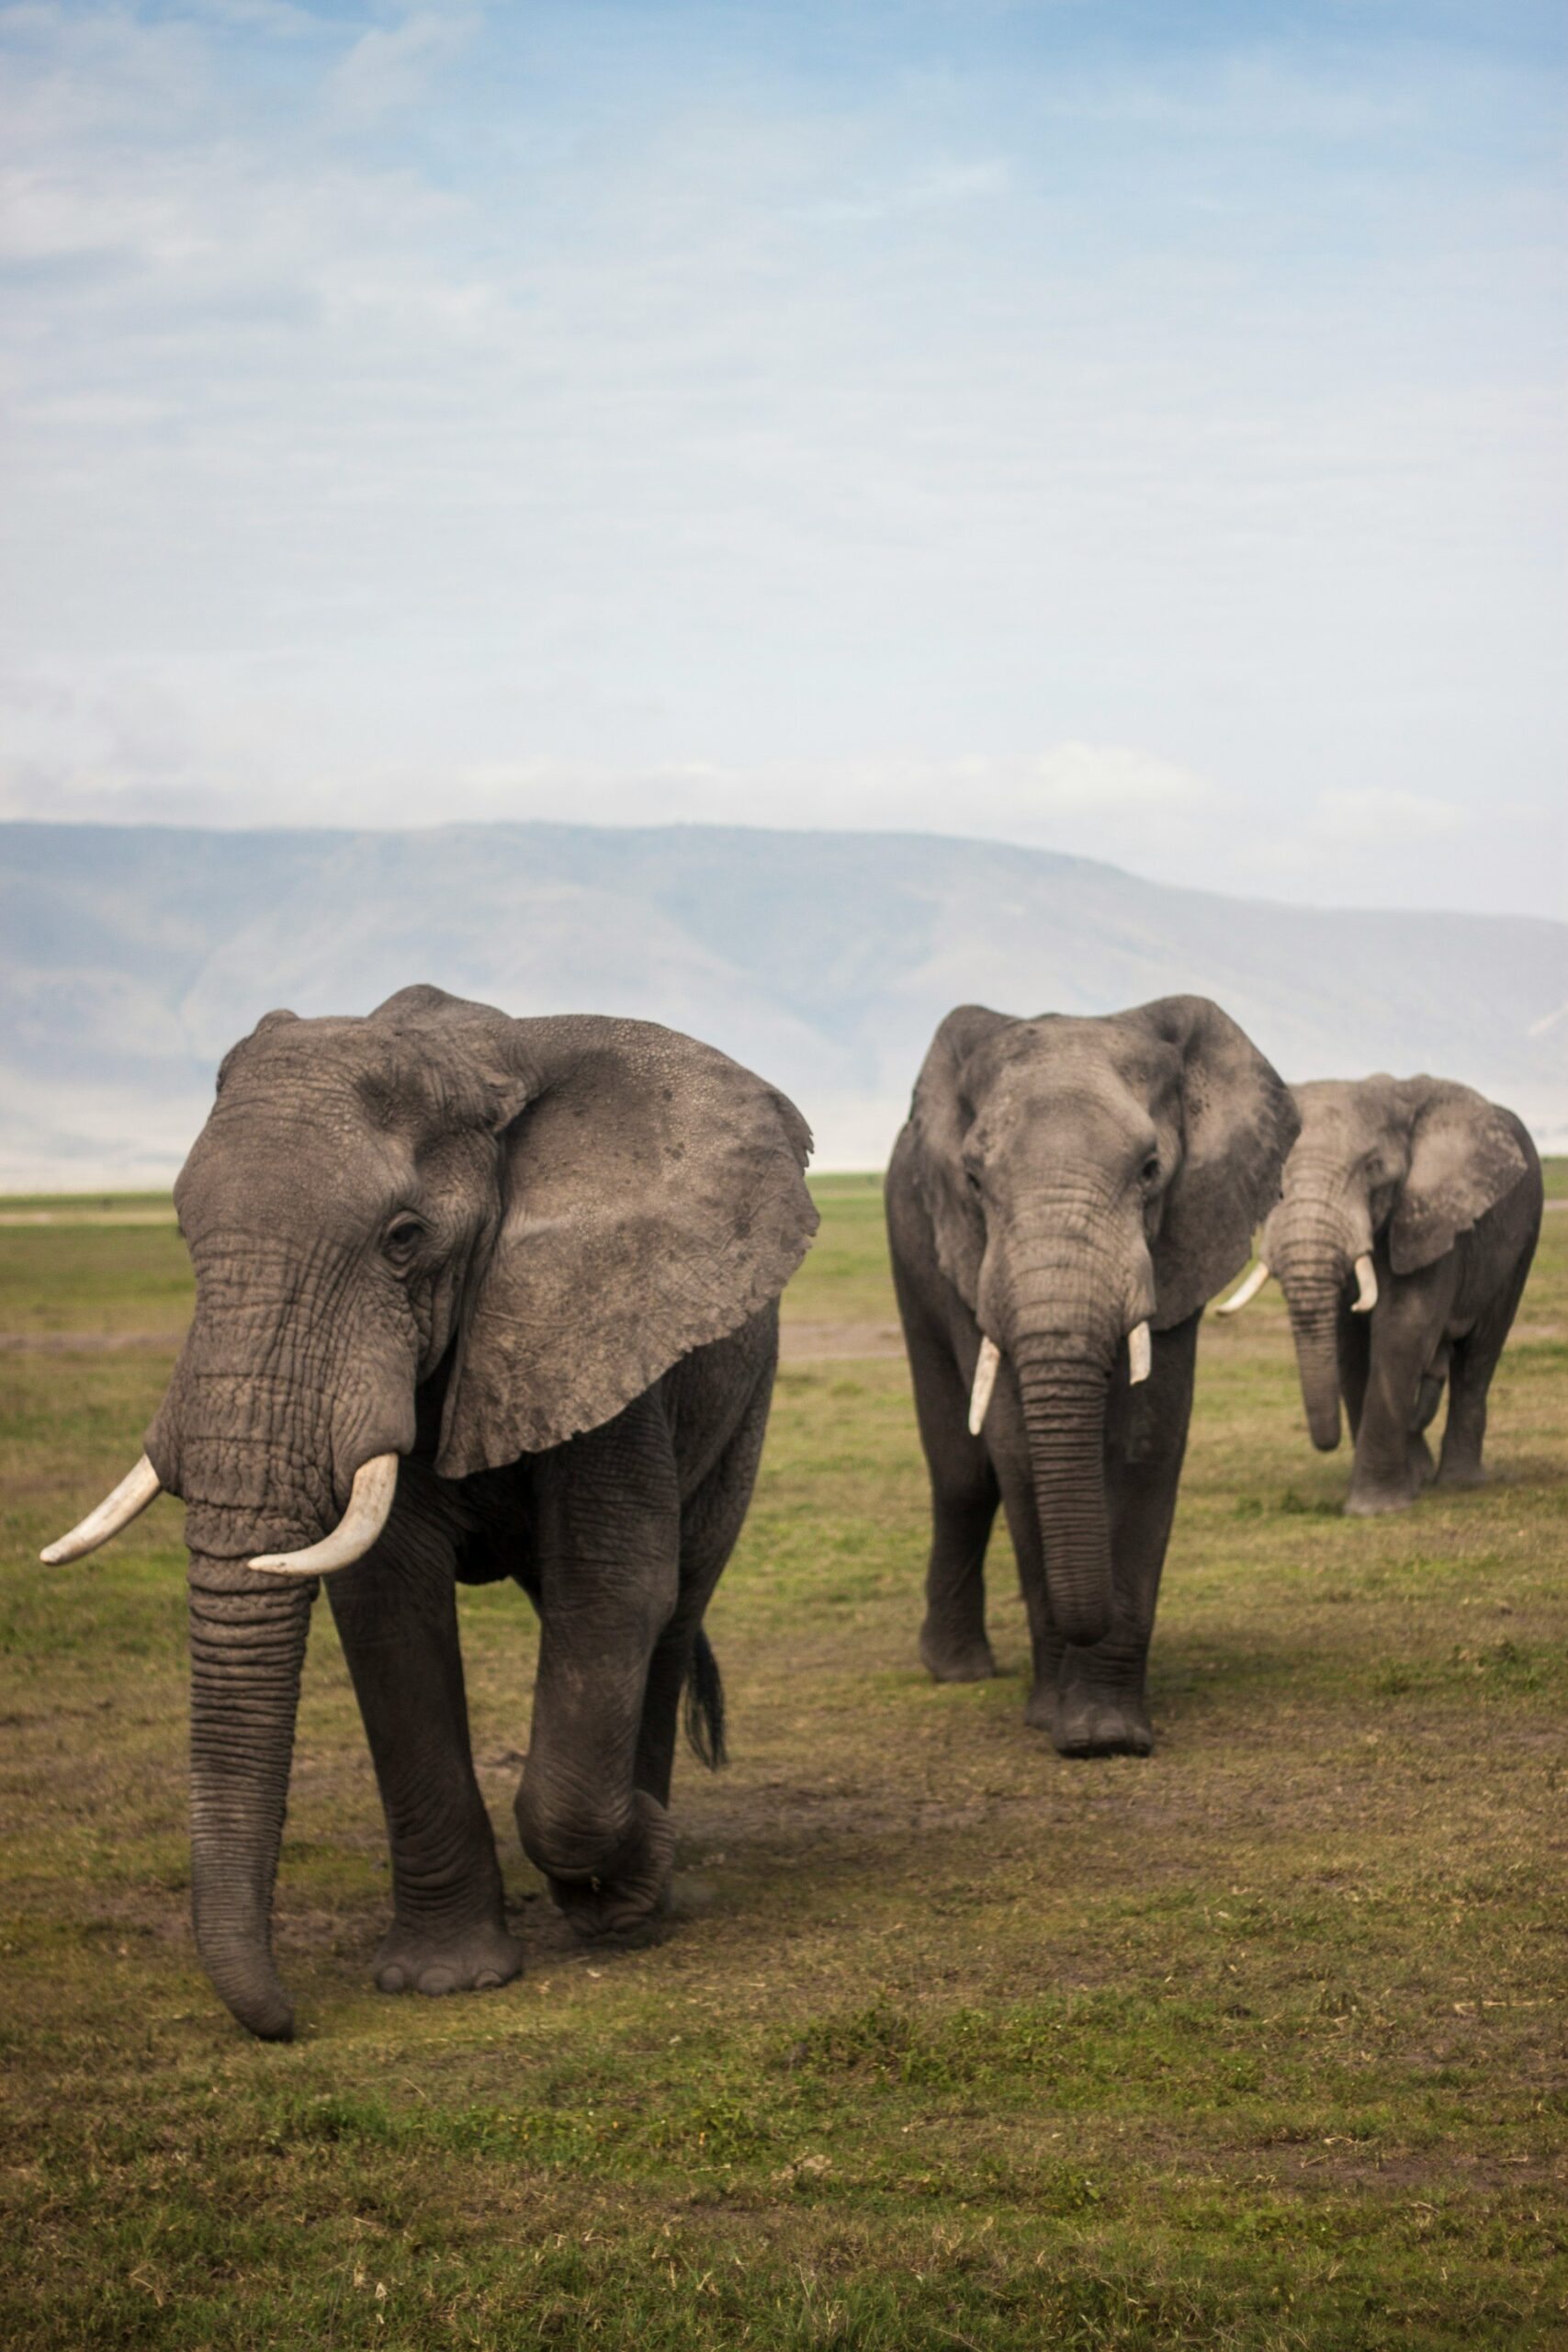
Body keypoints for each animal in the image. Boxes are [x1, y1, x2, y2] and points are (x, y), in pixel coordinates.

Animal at [39, 983, 822, 2031]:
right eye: (179, 1231)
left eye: (404, 1239)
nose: (285, 2022)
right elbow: (388, 1606)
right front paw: (442, 1980)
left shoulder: (599, 1320)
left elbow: (613, 1588)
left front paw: (633, 1876)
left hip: (745, 1399)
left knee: (674, 1602)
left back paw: (639, 1897)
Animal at [884, 988, 1297, 1749]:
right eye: (973, 1180)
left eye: (1149, 1171)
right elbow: (1015, 1448)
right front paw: (1057, 1722)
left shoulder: (1182, 1237)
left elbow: (1145, 1440)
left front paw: (1106, 1736)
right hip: (908, 1244)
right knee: (962, 1473)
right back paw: (956, 1671)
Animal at [1213, 1077, 1541, 1514]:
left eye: (1373, 1170)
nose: (1326, 1442)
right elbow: (1350, 1345)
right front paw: (1402, 1489)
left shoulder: (1430, 1218)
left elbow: (1404, 1326)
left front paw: (1374, 1509)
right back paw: (1422, 1474)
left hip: (1523, 1238)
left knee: (1480, 1354)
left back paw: (1459, 1481)